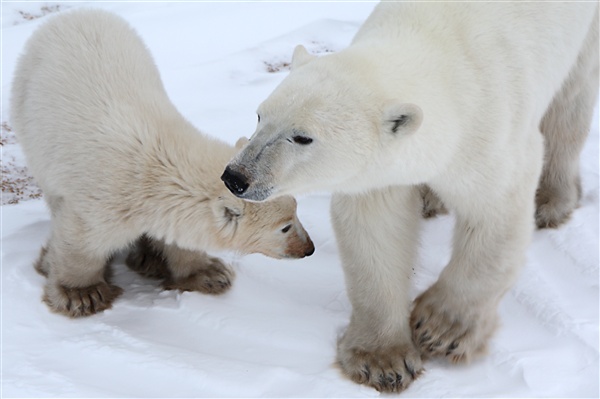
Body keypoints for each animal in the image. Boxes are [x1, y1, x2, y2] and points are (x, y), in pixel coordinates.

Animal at [223, 0, 596, 394]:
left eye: (302, 137)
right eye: (260, 116)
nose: (235, 176)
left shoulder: (491, 134)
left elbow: (494, 219)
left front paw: (439, 331)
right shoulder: (380, 175)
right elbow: (377, 232)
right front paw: (382, 360)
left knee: (573, 96)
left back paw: (551, 199)